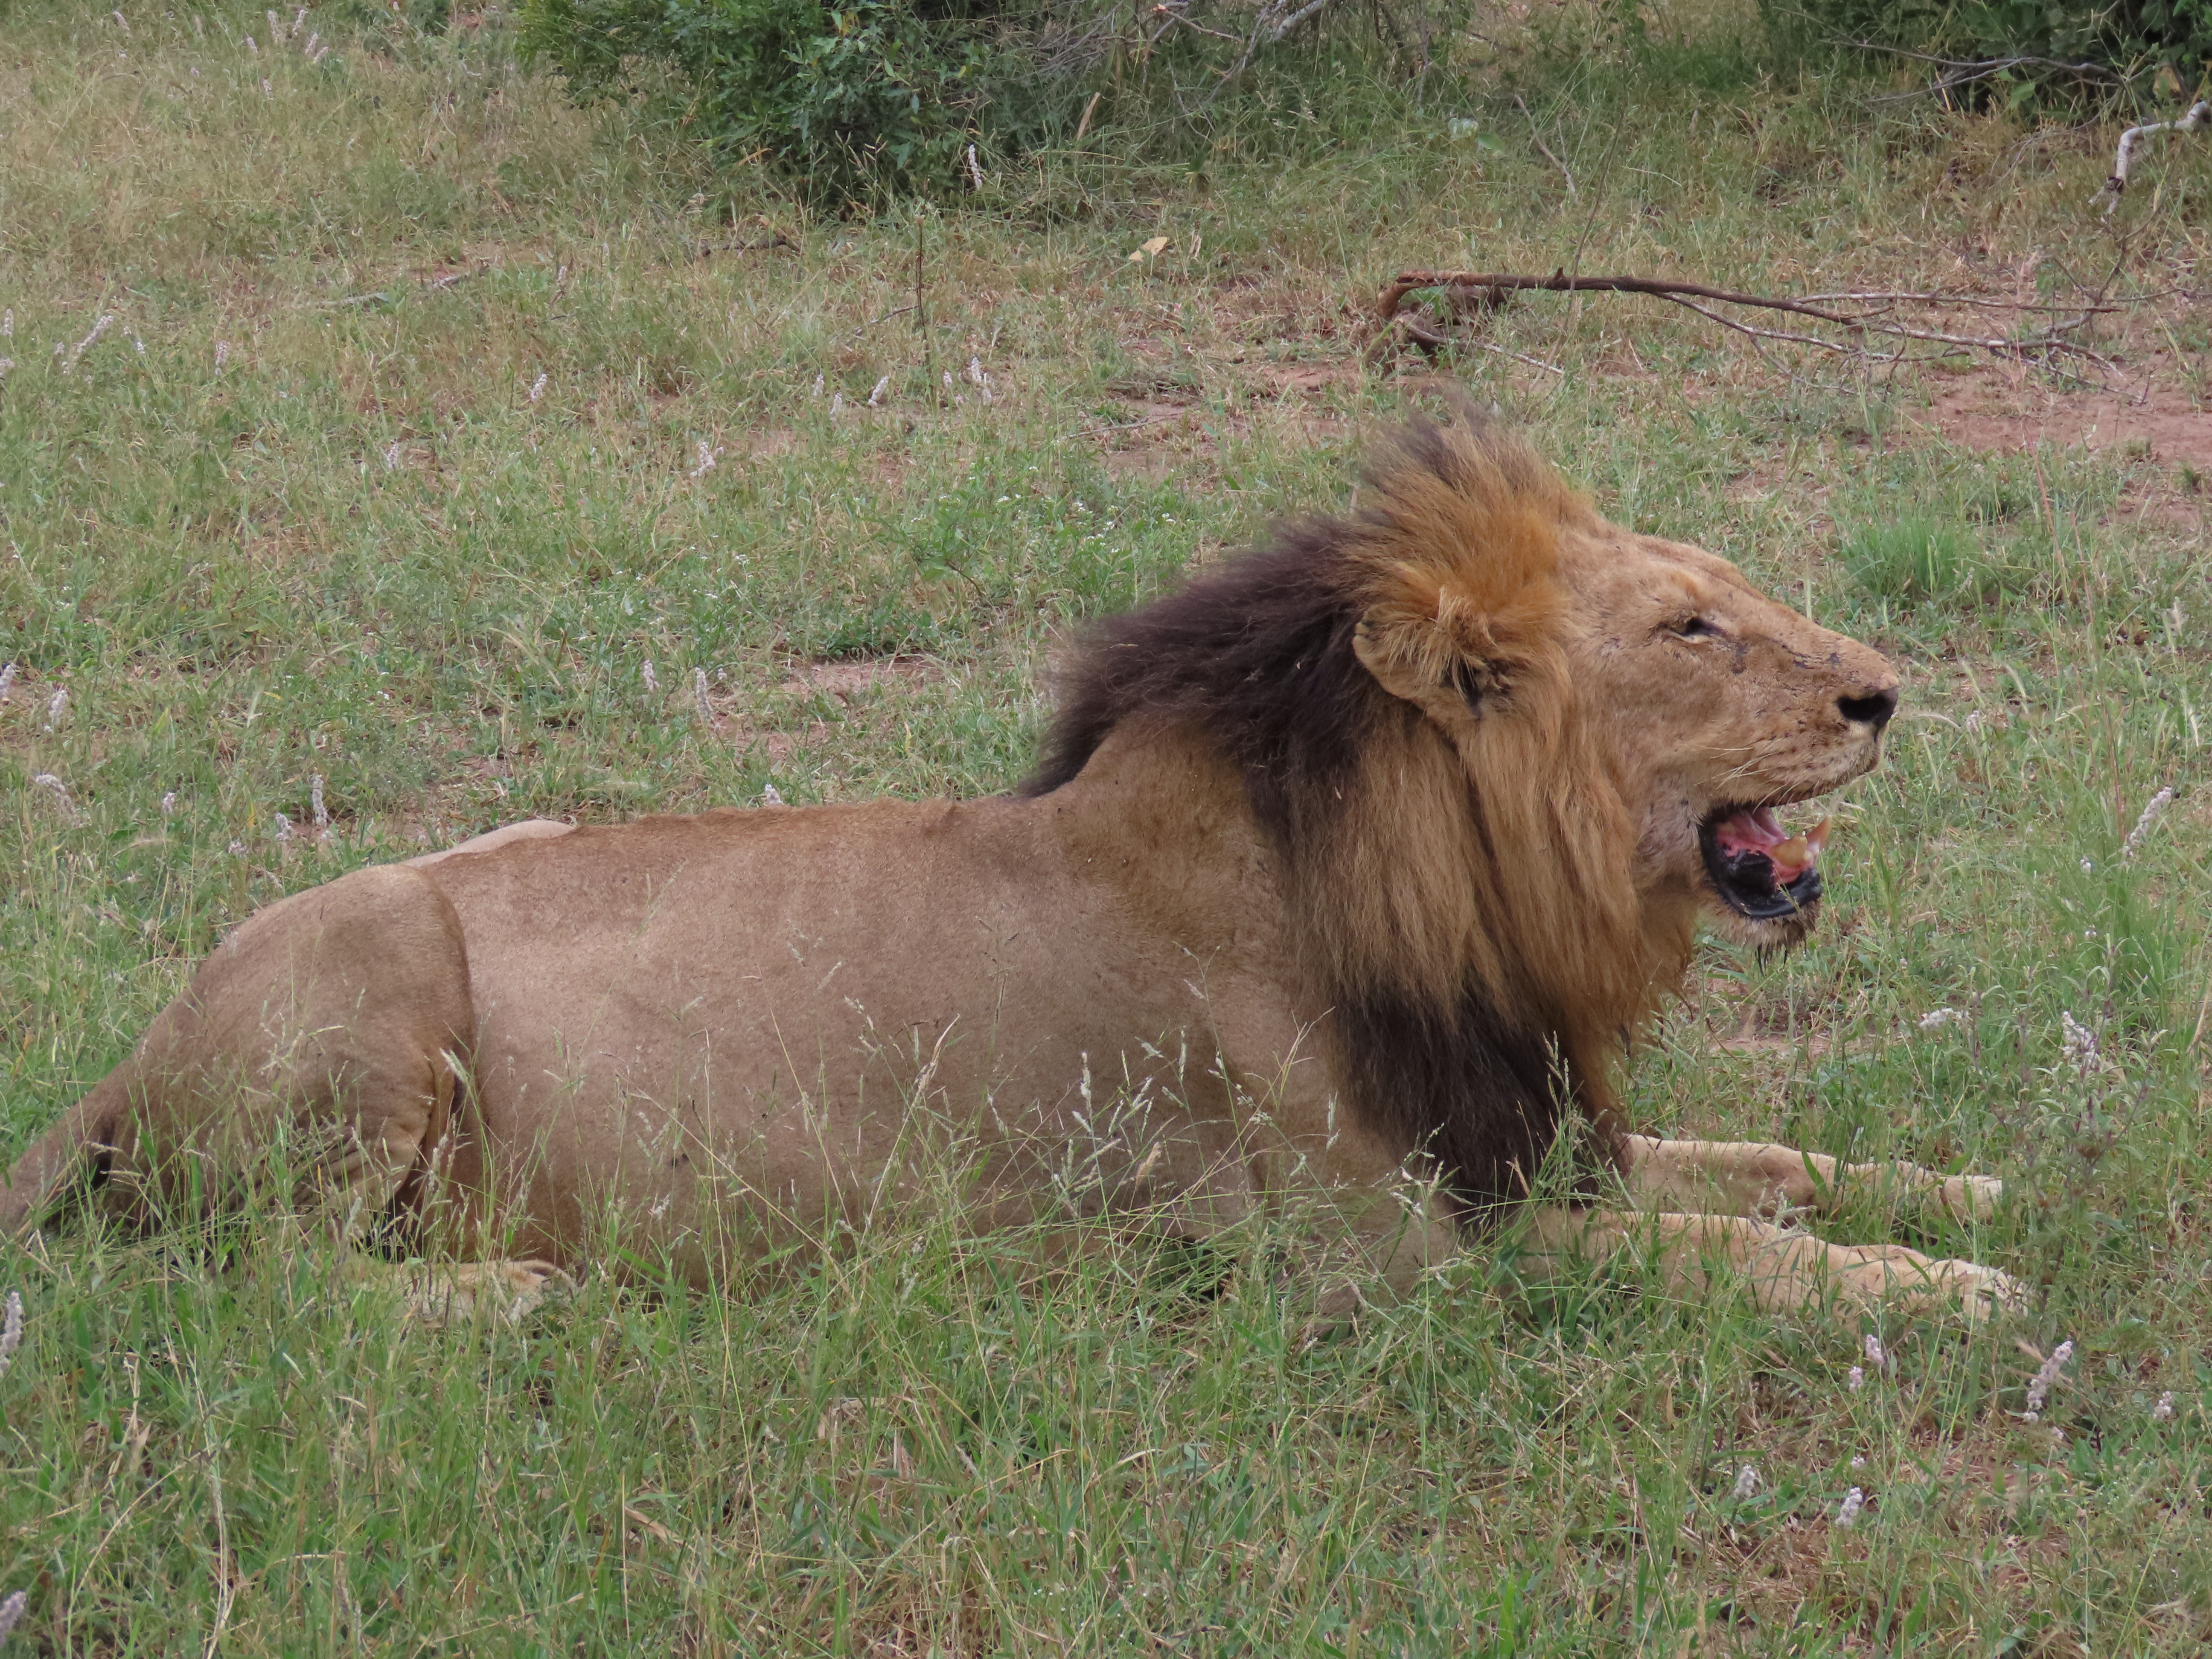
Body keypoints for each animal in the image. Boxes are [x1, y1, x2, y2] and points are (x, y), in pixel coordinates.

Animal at [0, 412, 2021, 1322]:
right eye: (1691, 629)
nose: (1881, 692)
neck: (1454, 898)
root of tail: (122, 1062)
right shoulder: (1377, 1246)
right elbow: (1713, 1248)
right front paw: (1953, 1294)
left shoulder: (1521, 1133)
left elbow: (1762, 1163)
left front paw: (1970, 1197)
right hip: (375, 959)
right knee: (232, 1284)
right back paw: (517, 1294)